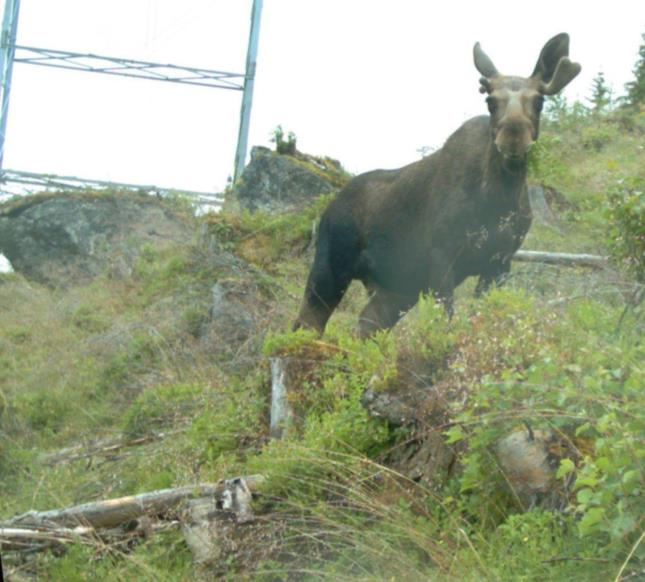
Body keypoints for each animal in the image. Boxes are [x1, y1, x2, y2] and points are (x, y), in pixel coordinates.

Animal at [292, 34, 580, 338]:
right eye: (490, 100)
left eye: (539, 101)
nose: (513, 135)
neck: (498, 198)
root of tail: (329, 206)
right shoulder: (443, 255)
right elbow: (445, 319)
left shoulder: (500, 261)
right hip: (331, 265)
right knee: (307, 323)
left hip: (396, 290)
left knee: (365, 325)